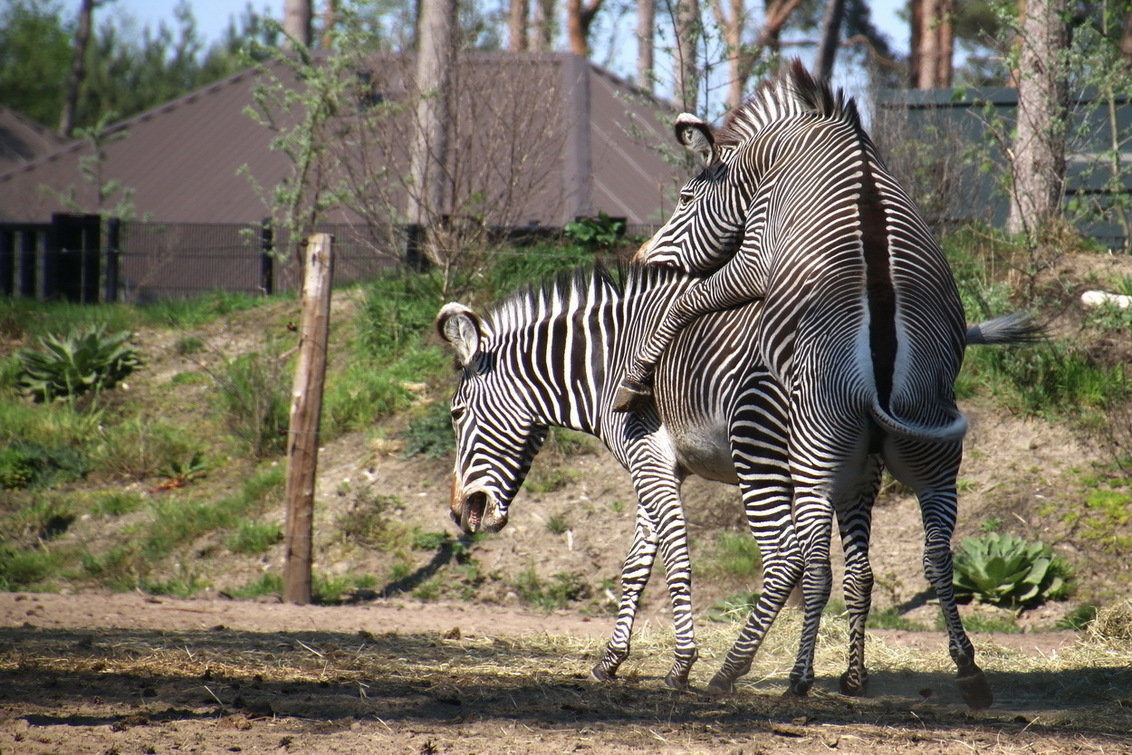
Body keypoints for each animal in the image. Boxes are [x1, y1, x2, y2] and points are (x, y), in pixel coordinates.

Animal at [436, 264, 1036, 697]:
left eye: (456, 413)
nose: (458, 513)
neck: (605, 366)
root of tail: (869, 352)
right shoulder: (659, 466)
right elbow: (636, 566)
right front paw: (610, 660)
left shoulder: (649, 460)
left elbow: (675, 559)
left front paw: (681, 664)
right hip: (874, 466)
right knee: (892, 563)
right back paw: (890, 676)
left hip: (765, 455)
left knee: (789, 561)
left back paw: (738, 671)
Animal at [615, 59, 996, 710]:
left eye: (688, 197)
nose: (642, 261)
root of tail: (882, 365)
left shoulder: (751, 260)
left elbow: (690, 300)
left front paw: (638, 373)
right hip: (932, 445)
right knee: (937, 553)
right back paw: (966, 671)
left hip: (815, 452)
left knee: (810, 563)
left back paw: (771, 674)